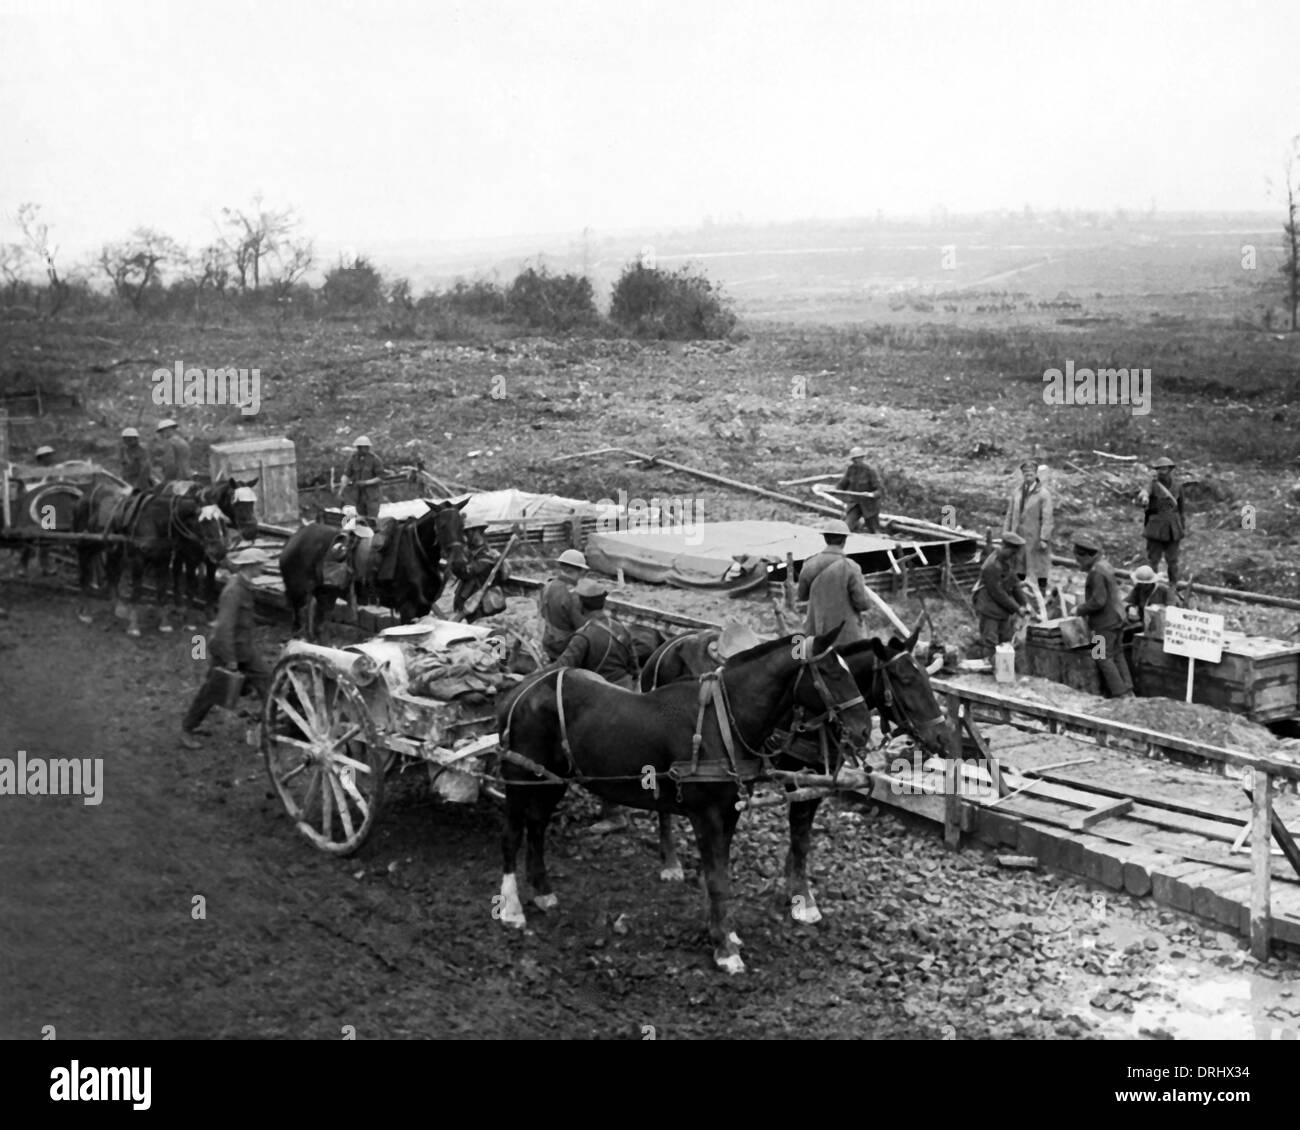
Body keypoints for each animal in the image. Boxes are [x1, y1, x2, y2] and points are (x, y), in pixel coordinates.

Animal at [73, 483, 228, 634]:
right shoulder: (139, 560)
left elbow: (162, 589)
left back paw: (117, 607)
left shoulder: (163, 558)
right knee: (84, 566)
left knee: (112, 572)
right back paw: (85, 610)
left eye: (220, 520)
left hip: (112, 548)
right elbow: (137, 590)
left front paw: (164, 623)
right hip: (89, 543)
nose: (220, 551)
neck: (155, 520)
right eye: (204, 521)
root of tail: (83, 497)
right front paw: (133, 626)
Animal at [276, 499, 470, 639]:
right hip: (298, 596)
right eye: (442, 526)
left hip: (325, 596)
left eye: (462, 526)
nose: (460, 563)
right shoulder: (407, 607)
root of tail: (293, 539)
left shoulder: (424, 607)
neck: (416, 551)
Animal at [493, 621, 873, 972]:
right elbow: (717, 880)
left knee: (537, 826)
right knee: (512, 833)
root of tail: (520, 692)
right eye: (830, 672)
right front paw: (725, 950)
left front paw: (724, 932)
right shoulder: (706, 814)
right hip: (520, 777)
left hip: (550, 779)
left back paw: (542, 891)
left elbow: (720, 873)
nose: (864, 729)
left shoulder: (729, 812)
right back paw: (512, 907)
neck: (722, 725)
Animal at [639, 621, 946, 920]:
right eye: (906, 680)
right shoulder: (796, 775)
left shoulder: (819, 780)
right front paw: (803, 898)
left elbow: (803, 833)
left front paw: (791, 885)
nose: (941, 736)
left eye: (926, 677)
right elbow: (799, 834)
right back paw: (670, 862)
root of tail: (666, 645)